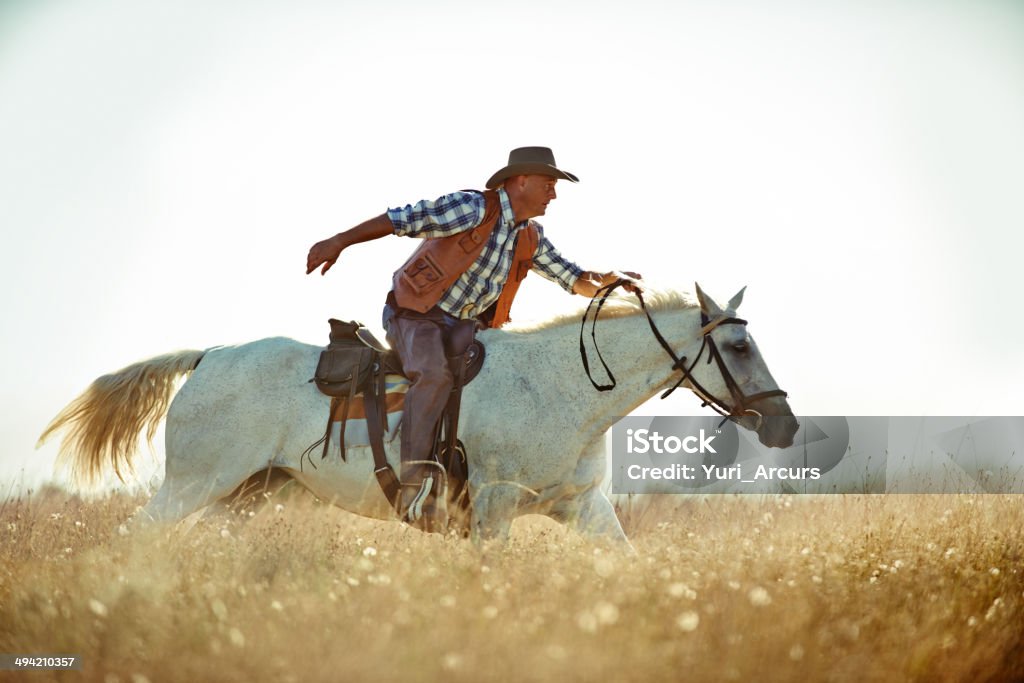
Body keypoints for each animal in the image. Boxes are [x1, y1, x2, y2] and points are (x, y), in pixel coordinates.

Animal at [39, 282, 794, 544]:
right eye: (738, 345)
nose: (784, 424)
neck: (563, 388)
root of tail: (207, 357)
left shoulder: (583, 506)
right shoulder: (491, 507)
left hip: (244, 497)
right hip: (192, 485)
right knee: (134, 538)